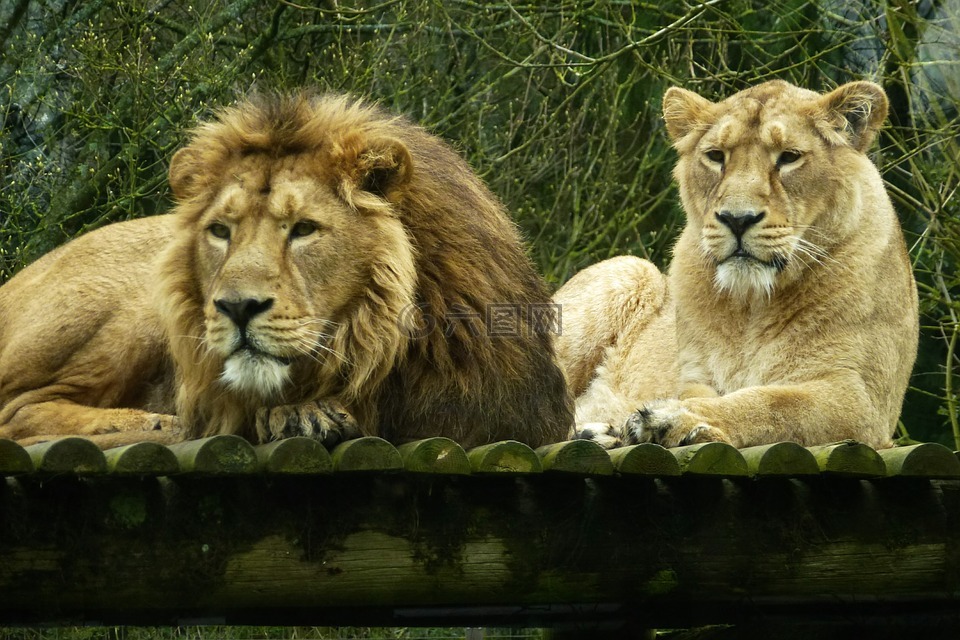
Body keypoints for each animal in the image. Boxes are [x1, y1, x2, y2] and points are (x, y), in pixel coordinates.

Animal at [0, 92, 568, 448]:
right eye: (220, 230)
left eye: (303, 229)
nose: (237, 307)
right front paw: (298, 414)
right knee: (19, 411)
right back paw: (159, 424)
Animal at [560, 81, 920, 450]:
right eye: (716, 156)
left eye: (789, 157)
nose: (737, 219)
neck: (751, 306)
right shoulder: (695, 373)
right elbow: (715, 396)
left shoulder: (863, 402)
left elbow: (774, 402)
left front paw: (672, 418)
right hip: (631, 270)